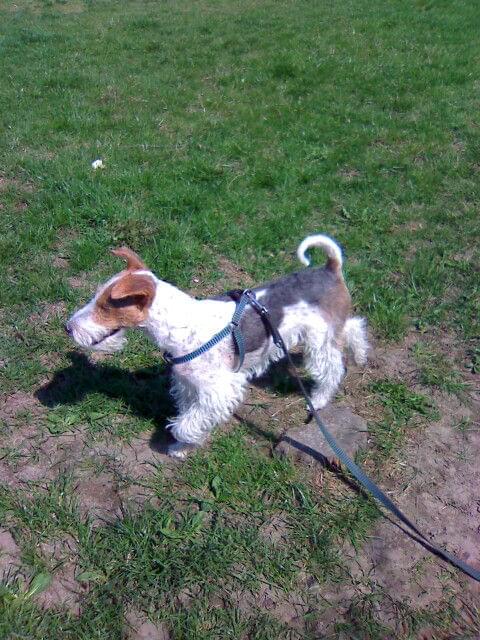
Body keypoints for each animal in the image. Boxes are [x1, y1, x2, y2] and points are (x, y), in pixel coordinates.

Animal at [65, 234, 368, 458]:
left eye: (106, 306)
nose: (68, 327)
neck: (180, 325)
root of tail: (330, 268)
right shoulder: (188, 384)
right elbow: (191, 415)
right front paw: (183, 448)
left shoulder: (220, 388)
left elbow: (186, 424)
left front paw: (180, 443)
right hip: (330, 329)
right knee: (354, 328)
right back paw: (361, 354)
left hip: (319, 340)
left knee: (332, 368)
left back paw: (318, 399)